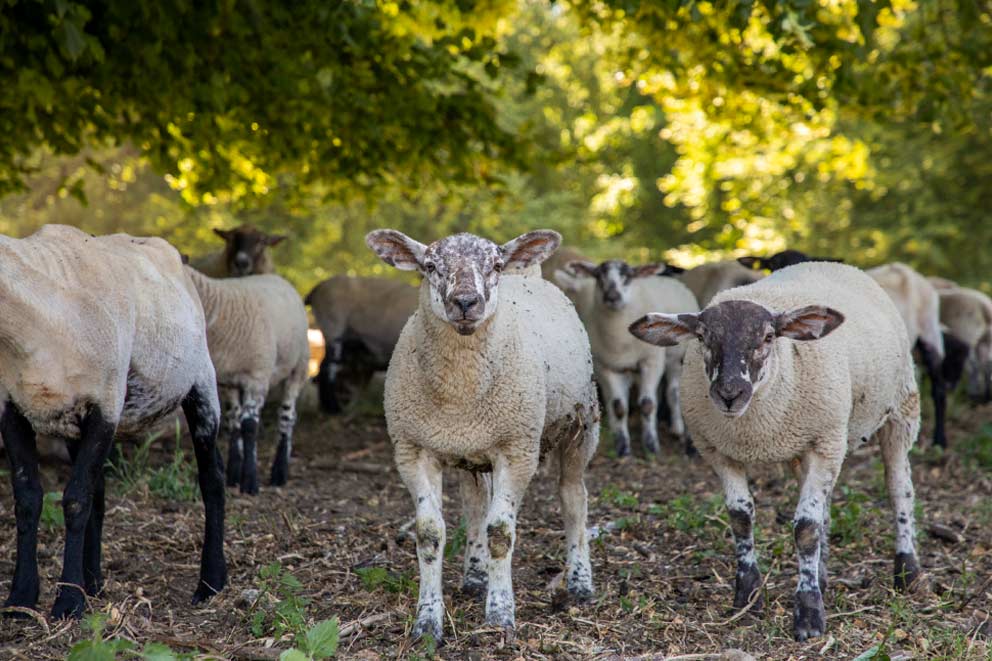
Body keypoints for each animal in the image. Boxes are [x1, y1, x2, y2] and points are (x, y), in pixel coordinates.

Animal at [0, 224, 226, 620]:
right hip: (73, 423)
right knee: (100, 495)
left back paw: (210, 584)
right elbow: (29, 501)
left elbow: (75, 501)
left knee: (212, 480)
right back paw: (93, 583)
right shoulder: (13, 408)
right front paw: (22, 598)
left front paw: (68, 603)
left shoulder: (106, 404)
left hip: (201, 379)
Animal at [185, 268, 310, 494]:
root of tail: (277, 277)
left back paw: (280, 471)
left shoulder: (257, 377)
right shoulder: (228, 381)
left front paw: (250, 481)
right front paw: (233, 473)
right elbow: (233, 421)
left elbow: (250, 426)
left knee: (287, 416)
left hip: (299, 366)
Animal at [365, 228, 599, 642]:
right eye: (430, 266)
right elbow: (429, 534)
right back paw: (475, 576)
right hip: (471, 449)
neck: (459, 396)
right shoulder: (413, 449)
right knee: (475, 503)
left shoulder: (517, 450)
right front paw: (427, 621)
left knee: (574, 498)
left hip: (580, 425)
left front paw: (501, 615)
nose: (465, 302)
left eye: (495, 265)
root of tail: (531, 274)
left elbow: (500, 533)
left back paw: (580, 583)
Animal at [560, 260, 698, 456]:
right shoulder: (605, 366)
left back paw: (677, 428)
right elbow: (618, 407)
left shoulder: (652, 361)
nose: (612, 296)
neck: (620, 339)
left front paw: (651, 445)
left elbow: (648, 404)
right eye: (599, 276)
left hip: (676, 357)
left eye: (628, 276)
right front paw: (623, 446)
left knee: (673, 391)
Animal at [630, 262, 921, 642]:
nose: (729, 394)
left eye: (769, 337)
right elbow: (741, 518)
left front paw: (809, 616)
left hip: (899, 409)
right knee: (825, 508)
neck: (757, 432)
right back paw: (823, 576)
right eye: (702, 337)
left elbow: (806, 528)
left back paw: (907, 572)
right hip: (814, 447)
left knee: (899, 488)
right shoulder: (718, 450)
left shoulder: (825, 441)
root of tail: (834, 263)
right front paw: (747, 598)